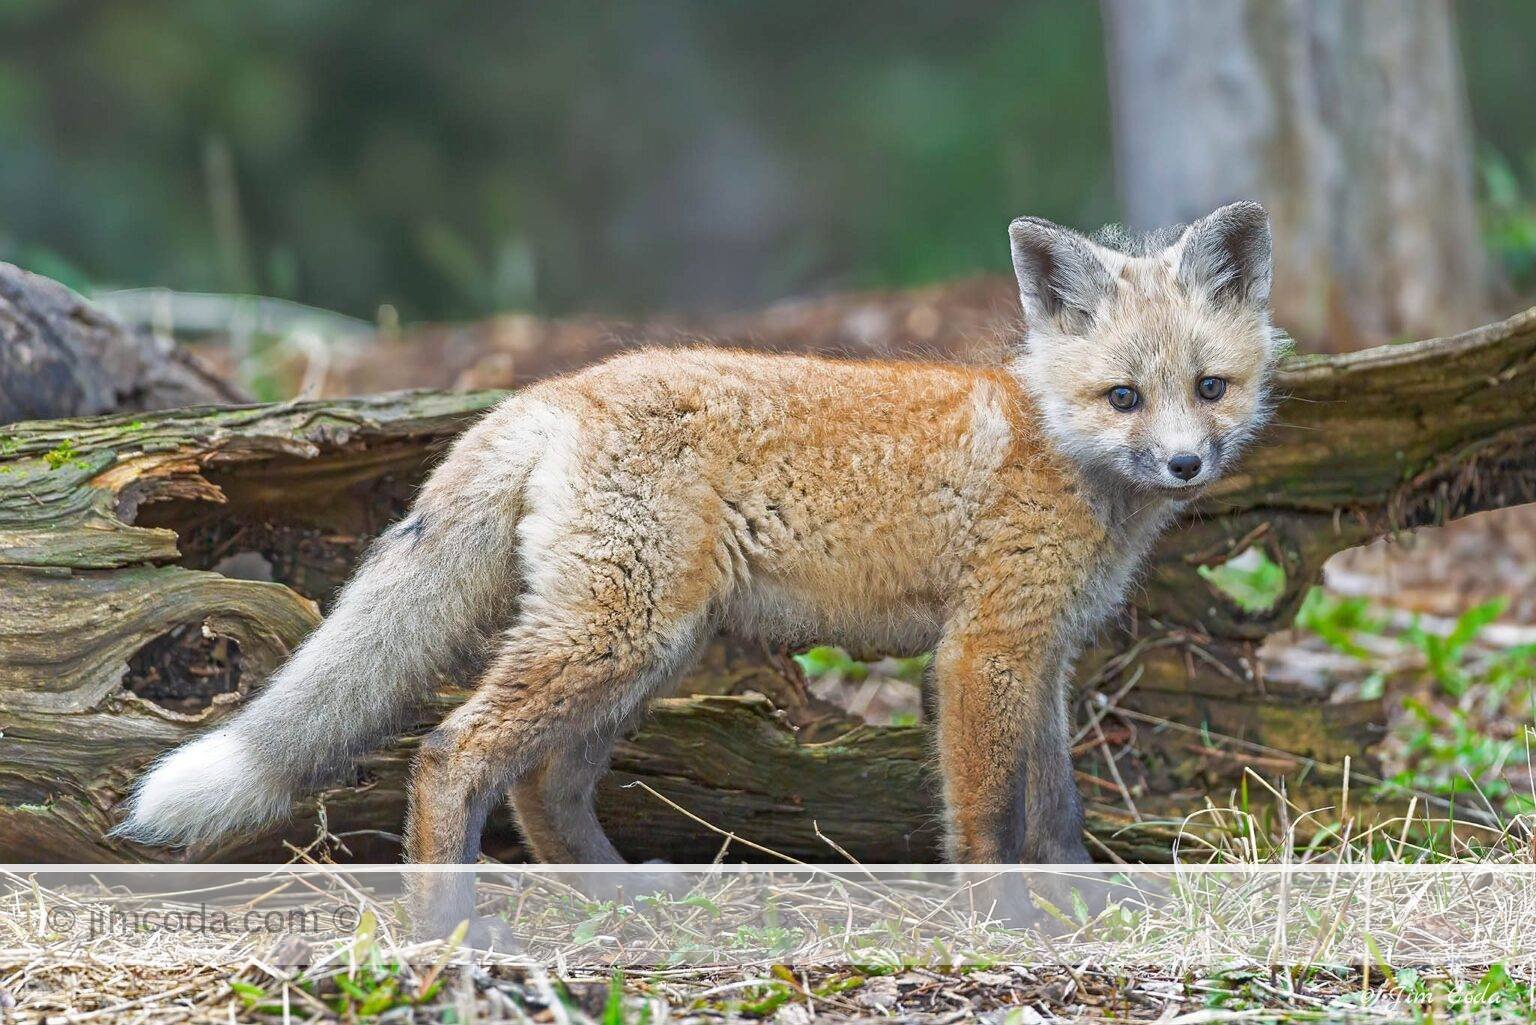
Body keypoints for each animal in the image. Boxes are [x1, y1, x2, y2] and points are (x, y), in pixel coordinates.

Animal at [116, 202, 1279, 934]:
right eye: (1124, 396)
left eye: (1210, 387)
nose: (1187, 463)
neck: (1055, 445)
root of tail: (554, 390)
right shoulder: (984, 649)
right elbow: (991, 816)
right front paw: (1009, 923)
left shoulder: (1045, 656)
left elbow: (1057, 808)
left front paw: (1079, 901)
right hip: (618, 635)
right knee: (453, 751)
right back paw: (447, 929)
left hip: (646, 650)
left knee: (541, 783)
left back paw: (614, 896)